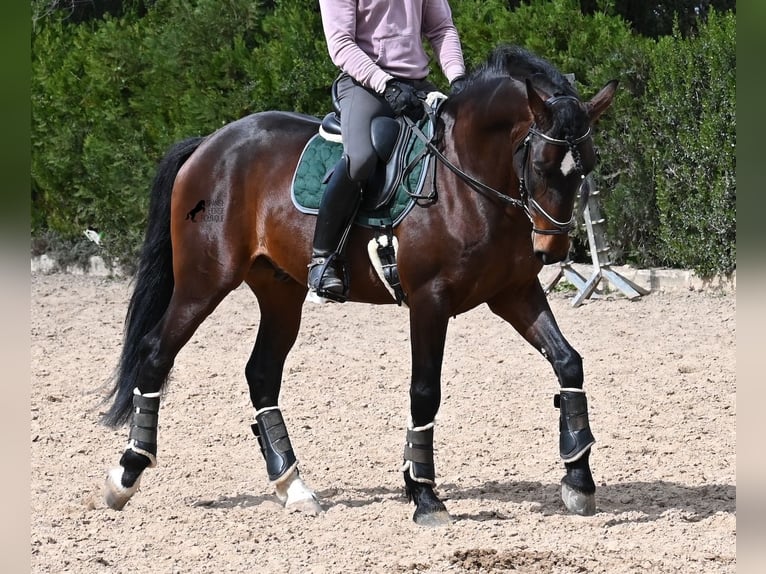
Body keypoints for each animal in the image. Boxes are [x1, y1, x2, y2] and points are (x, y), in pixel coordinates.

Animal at [103, 47, 616, 528]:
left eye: (585, 164)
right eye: (542, 163)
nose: (551, 248)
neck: (466, 176)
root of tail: (209, 144)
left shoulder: (514, 293)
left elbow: (568, 363)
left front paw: (578, 479)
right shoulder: (430, 301)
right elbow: (424, 392)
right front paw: (424, 496)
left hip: (279, 292)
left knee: (262, 374)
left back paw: (293, 486)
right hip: (204, 282)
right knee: (156, 353)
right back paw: (124, 476)